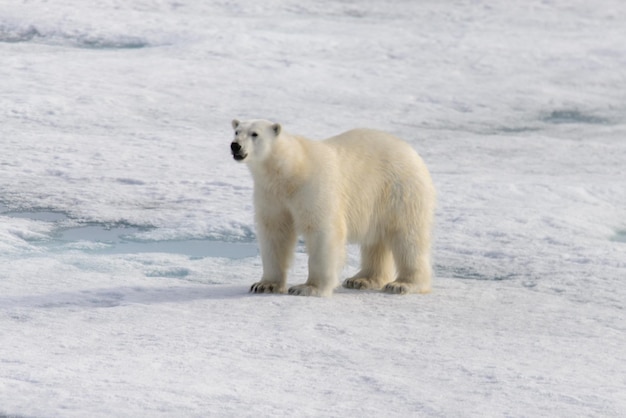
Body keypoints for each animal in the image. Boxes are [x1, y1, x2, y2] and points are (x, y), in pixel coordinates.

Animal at [229, 118, 434, 298]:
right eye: (237, 131)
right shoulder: (271, 196)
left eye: (255, 134)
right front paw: (264, 285)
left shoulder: (313, 187)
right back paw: (361, 279)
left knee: (407, 238)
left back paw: (402, 284)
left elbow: (322, 231)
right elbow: (274, 232)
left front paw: (308, 288)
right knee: (375, 241)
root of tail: (412, 152)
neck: (290, 172)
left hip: (400, 191)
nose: (235, 146)